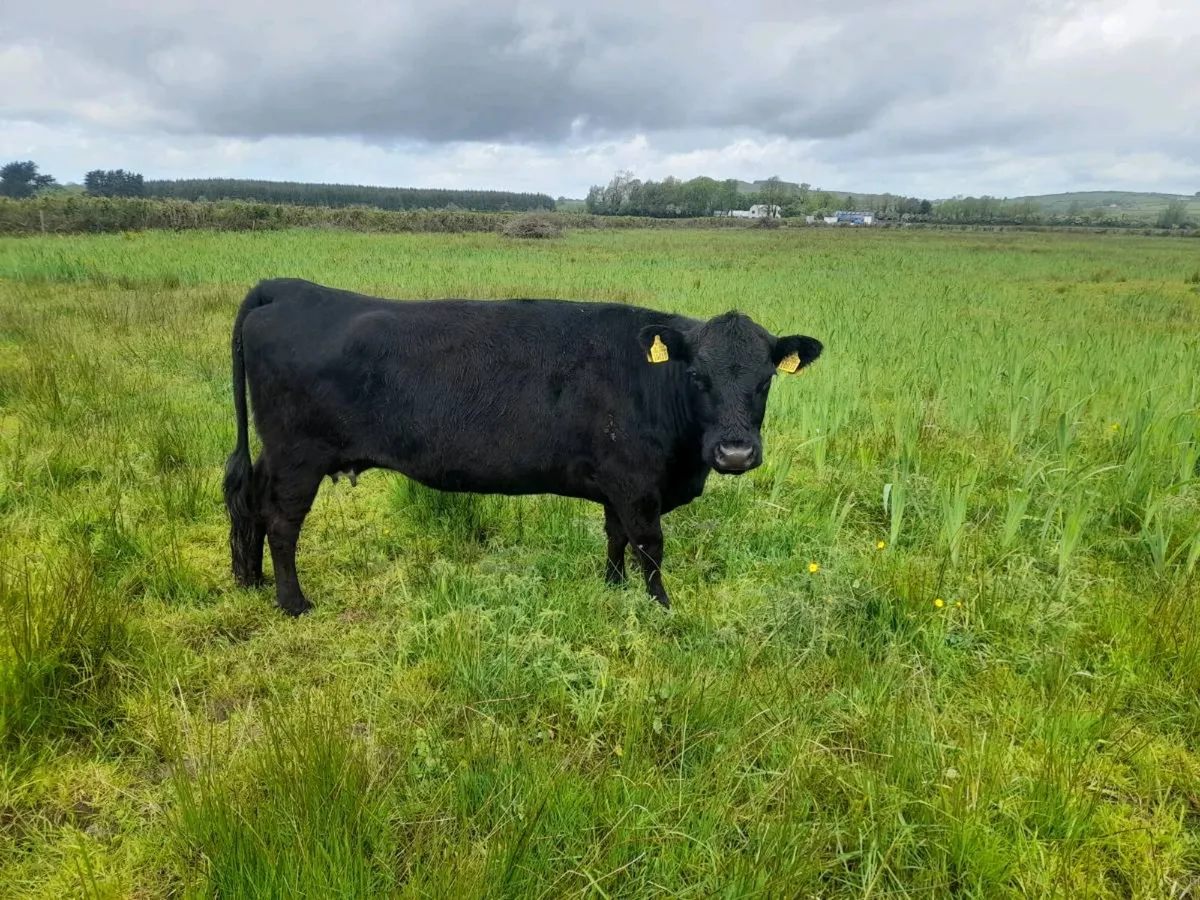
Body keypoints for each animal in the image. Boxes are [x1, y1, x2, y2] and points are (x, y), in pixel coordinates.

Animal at [222, 278, 822, 616]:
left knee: (249, 503)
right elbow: (649, 545)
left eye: (766, 379)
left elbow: (615, 537)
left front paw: (612, 589)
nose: (735, 453)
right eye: (697, 376)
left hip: (276, 453)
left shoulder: (617, 483)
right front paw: (661, 607)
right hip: (299, 456)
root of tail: (291, 286)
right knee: (282, 523)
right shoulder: (636, 482)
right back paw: (293, 603)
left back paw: (251, 581)